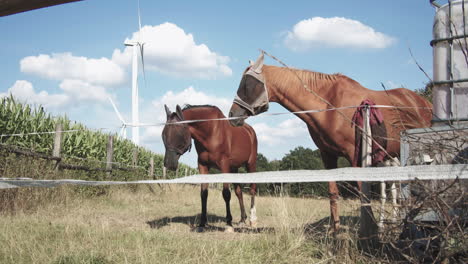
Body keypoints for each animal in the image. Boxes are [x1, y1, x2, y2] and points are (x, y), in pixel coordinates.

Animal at [227, 51, 432, 231]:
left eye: (247, 84)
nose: (232, 116)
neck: (329, 106)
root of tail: (424, 103)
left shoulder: (355, 157)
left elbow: (363, 195)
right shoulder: (328, 156)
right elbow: (333, 194)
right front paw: (335, 232)